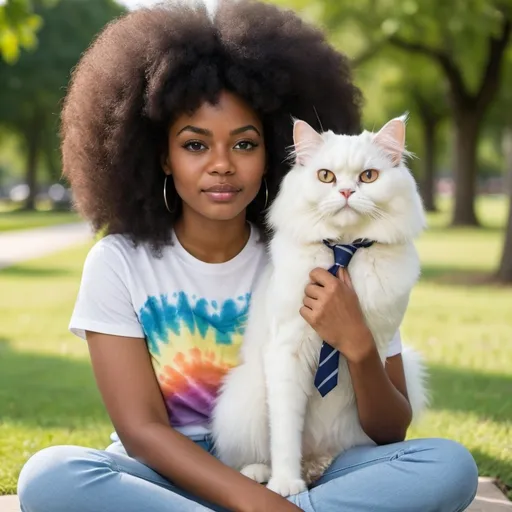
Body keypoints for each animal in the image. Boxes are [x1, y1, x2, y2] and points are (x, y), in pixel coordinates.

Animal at [210, 115, 430, 496]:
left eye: (368, 176)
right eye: (326, 176)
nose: (346, 193)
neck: (343, 250)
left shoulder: (377, 346)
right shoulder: (287, 351)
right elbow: (285, 434)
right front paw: (286, 485)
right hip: (246, 392)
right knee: (250, 457)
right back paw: (265, 475)